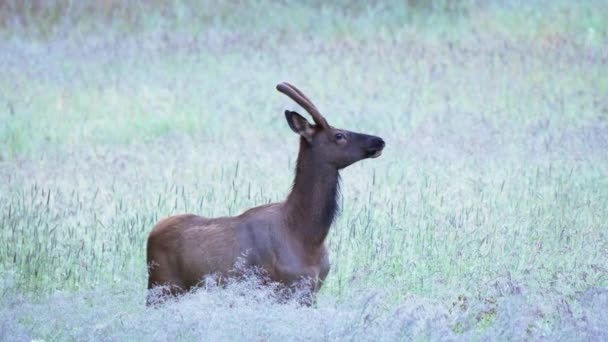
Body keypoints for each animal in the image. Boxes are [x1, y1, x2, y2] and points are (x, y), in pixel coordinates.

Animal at [146, 82, 384, 304]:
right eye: (339, 135)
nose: (379, 140)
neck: (307, 236)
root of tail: (151, 234)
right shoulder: (278, 287)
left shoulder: (312, 290)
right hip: (161, 286)